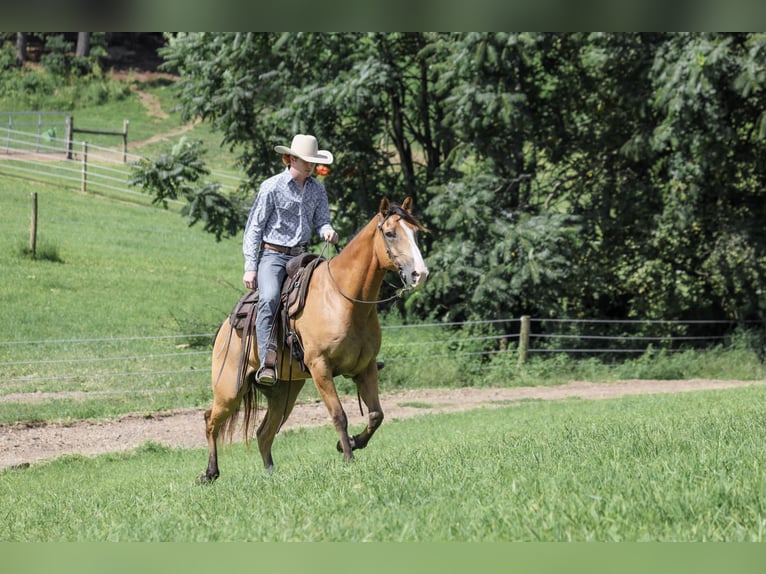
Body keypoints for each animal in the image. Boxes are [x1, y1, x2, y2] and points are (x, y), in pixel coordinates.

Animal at [199, 197, 429, 482]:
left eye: (416, 232)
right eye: (390, 233)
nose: (420, 274)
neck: (344, 300)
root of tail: (224, 328)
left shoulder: (366, 367)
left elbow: (377, 415)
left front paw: (350, 443)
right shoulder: (321, 368)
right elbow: (339, 415)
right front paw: (348, 457)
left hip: (284, 393)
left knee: (264, 432)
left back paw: (271, 474)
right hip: (230, 389)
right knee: (211, 420)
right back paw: (210, 473)